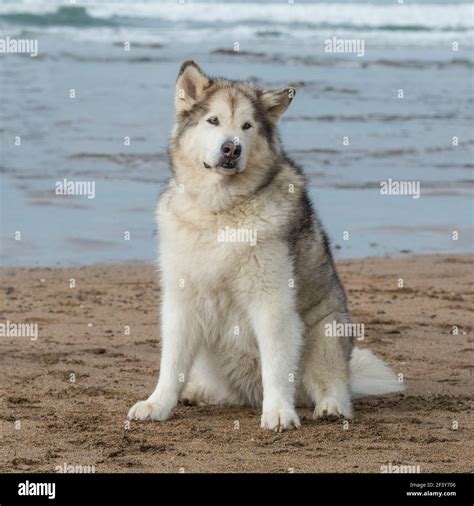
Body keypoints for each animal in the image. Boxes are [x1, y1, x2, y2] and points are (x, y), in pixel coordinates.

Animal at [127, 59, 404, 430]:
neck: (221, 210)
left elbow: (276, 366)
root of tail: (249, 391)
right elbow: (171, 364)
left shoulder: (271, 302)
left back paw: (329, 406)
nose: (231, 148)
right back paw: (197, 392)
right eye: (213, 120)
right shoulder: (182, 302)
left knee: (330, 384)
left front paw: (278, 412)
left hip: (326, 332)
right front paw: (157, 404)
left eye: (247, 126)